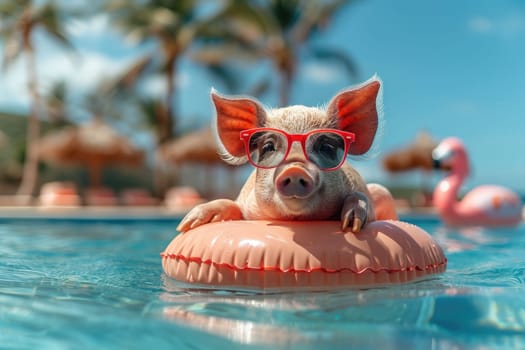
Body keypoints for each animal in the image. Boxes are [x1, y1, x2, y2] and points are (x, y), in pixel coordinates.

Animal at [174, 76, 396, 235]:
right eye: (268, 146)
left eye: (327, 146)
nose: (295, 169)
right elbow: (231, 205)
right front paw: (188, 224)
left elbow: (362, 201)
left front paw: (352, 225)